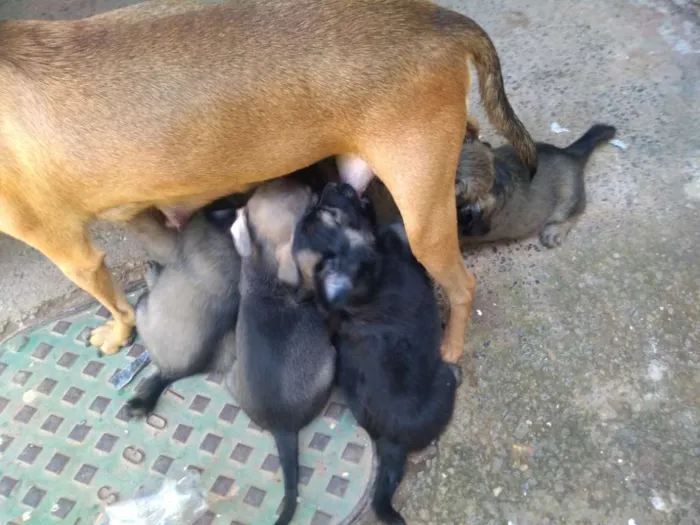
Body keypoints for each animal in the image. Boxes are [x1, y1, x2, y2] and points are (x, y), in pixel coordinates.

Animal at [0, 0, 536, 360]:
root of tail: (440, 19)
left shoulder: (73, 252)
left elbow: (114, 303)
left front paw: (117, 334)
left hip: (423, 214)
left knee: (464, 285)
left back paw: (450, 348)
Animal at [224, 179, 334, 524]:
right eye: (310, 203)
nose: (314, 181)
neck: (266, 267)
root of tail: (281, 427)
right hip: (331, 362)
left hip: (231, 376)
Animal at [294, 181, 460, 524]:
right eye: (330, 214)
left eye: (321, 209)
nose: (333, 183)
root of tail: (391, 445)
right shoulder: (393, 246)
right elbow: (395, 231)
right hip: (442, 385)